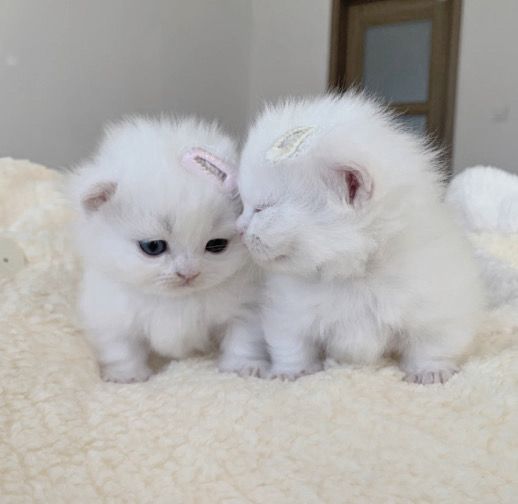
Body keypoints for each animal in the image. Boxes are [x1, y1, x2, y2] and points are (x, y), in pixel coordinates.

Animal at [68, 117, 268, 382]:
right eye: (153, 247)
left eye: (216, 245)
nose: (189, 274)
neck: (175, 300)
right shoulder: (110, 313)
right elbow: (120, 348)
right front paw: (127, 377)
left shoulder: (247, 306)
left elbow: (243, 340)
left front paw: (241, 368)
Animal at [238, 94, 486, 384]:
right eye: (243, 205)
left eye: (262, 209)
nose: (239, 228)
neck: (356, 273)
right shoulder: (288, 310)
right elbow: (291, 343)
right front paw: (291, 372)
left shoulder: (438, 301)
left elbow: (434, 342)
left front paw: (431, 371)